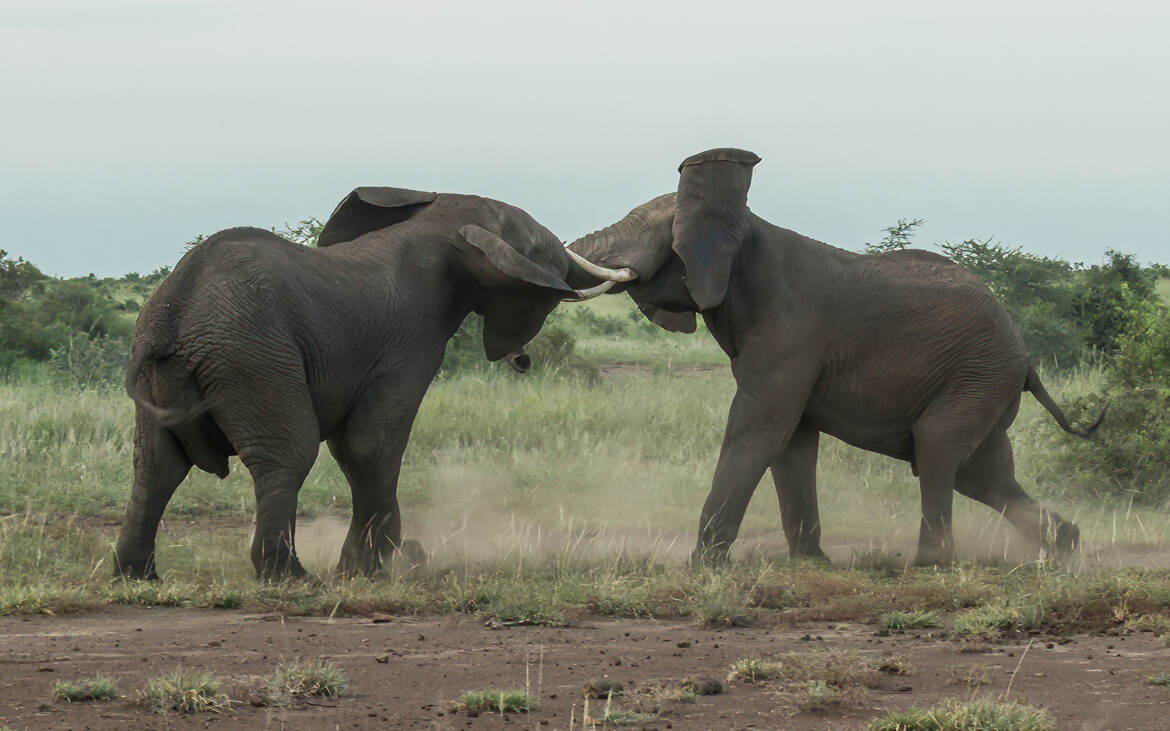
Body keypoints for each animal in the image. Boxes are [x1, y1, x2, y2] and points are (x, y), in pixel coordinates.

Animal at [115, 188, 627, 582]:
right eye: (538, 244)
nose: (522, 361)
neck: (437, 224)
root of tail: (173, 319)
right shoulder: (410, 343)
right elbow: (370, 444)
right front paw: (369, 569)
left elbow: (352, 447)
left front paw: (388, 560)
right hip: (252, 359)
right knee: (288, 455)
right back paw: (290, 577)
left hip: (177, 374)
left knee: (155, 465)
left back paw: (137, 575)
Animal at [561, 148, 1099, 563]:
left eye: (648, 232)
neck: (745, 228)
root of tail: (1025, 357)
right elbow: (792, 441)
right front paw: (810, 563)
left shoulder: (791, 332)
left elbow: (758, 429)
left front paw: (702, 569)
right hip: (986, 382)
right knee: (982, 474)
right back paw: (1064, 547)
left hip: (978, 375)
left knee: (938, 449)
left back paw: (932, 564)